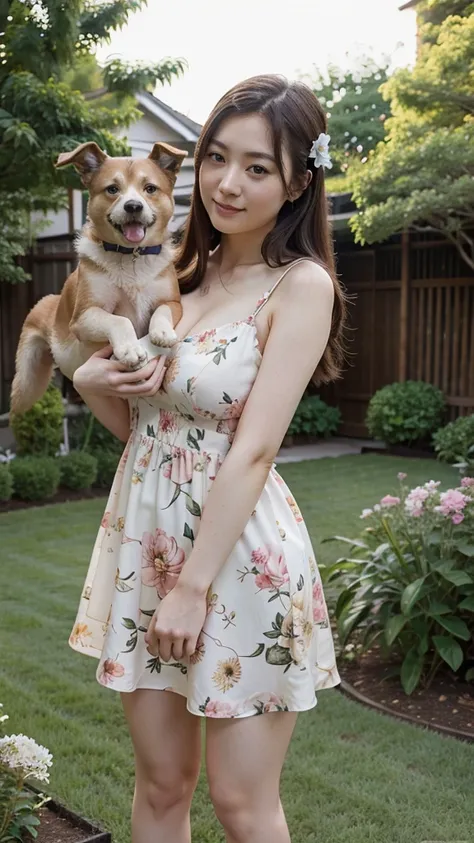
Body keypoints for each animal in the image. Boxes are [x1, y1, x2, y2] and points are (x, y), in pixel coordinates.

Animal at [9, 142, 187, 416]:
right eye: (112, 189)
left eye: (150, 189)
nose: (133, 206)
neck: (131, 257)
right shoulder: (83, 317)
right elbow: (120, 320)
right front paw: (129, 348)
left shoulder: (173, 301)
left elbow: (162, 310)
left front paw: (162, 332)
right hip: (27, 382)